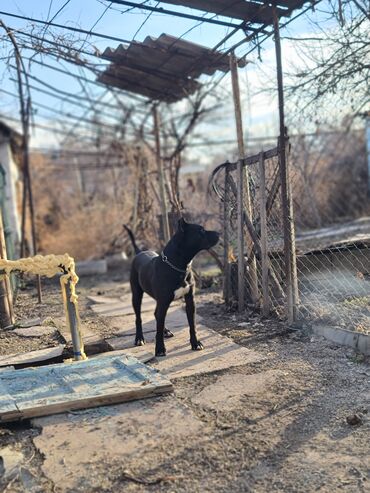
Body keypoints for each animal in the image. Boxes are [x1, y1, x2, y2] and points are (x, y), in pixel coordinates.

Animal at [124, 218, 218, 354]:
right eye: (201, 230)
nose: (219, 233)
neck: (179, 265)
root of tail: (140, 252)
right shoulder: (163, 301)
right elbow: (157, 327)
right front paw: (159, 349)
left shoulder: (190, 300)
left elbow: (192, 325)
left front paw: (195, 343)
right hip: (136, 295)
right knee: (139, 318)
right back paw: (139, 338)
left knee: (156, 314)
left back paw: (166, 331)